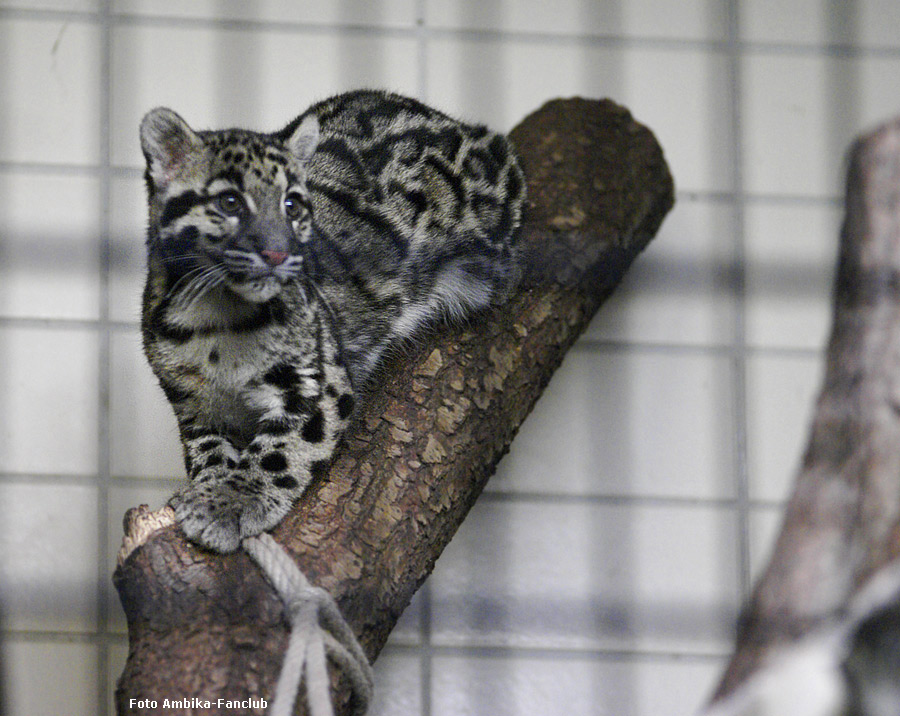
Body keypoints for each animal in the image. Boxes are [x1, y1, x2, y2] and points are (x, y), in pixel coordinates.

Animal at [137, 89, 524, 552]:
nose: (278, 252)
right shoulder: (192, 402)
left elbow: (281, 449)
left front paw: (231, 501)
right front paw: (209, 487)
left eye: (293, 204)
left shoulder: (317, 381)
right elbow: (206, 449)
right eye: (229, 201)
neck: (218, 317)